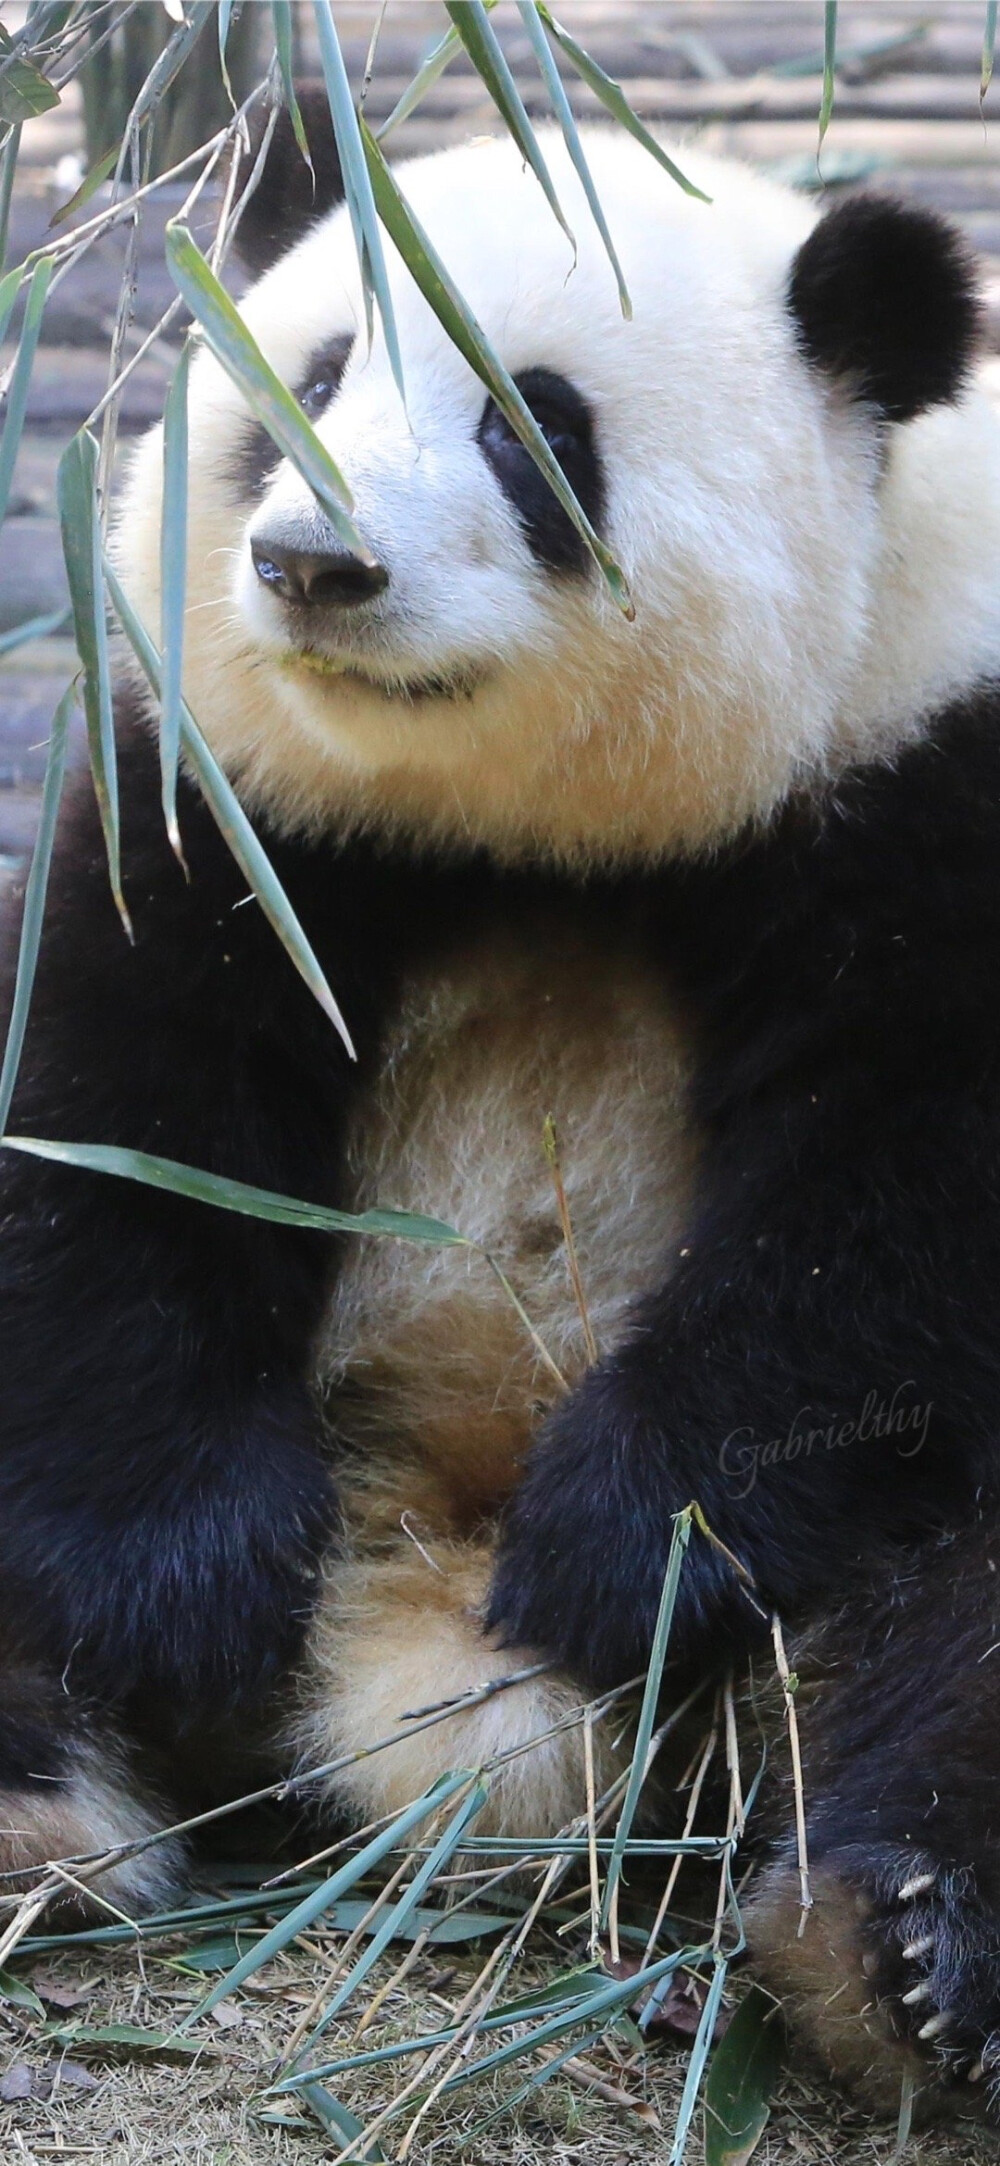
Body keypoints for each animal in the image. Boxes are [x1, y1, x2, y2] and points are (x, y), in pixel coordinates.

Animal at [1, 93, 1000, 2122]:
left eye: (531, 430)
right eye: (306, 383)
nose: (316, 564)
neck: (519, 818)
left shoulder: (924, 757)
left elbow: (887, 1213)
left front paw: (627, 1550)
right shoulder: (214, 791)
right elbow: (123, 1132)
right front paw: (176, 1580)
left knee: (963, 1633)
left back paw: (885, 1942)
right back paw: (39, 1814)